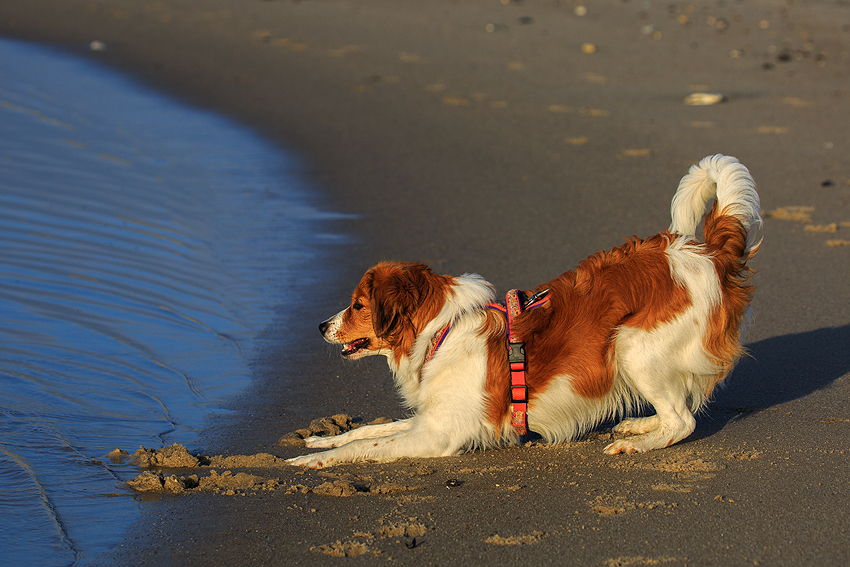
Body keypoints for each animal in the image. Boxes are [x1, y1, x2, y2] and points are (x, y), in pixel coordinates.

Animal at [288, 155, 760, 470]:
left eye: (357, 305)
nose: (320, 325)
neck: (440, 331)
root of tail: (705, 252)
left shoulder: (439, 432)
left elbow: (365, 447)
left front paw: (310, 464)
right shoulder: (428, 418)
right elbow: (368, 430)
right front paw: (320, 441)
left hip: (630, 345)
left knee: (682, 421)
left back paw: (636, 444)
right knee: (673, 414)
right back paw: (638, 425)